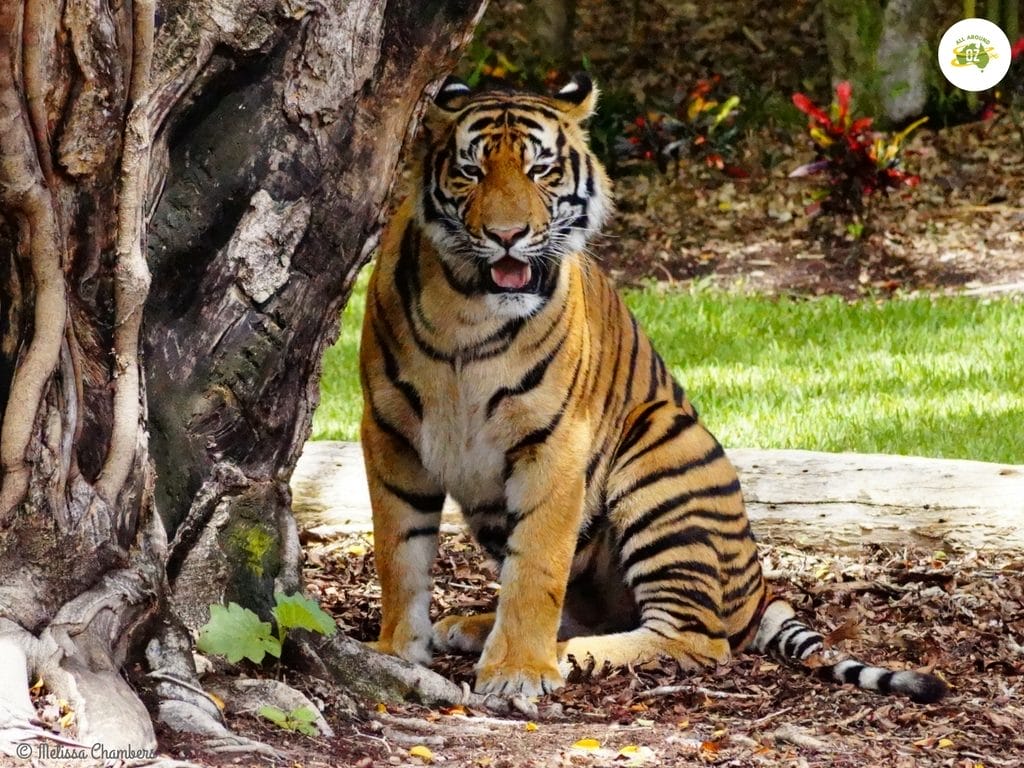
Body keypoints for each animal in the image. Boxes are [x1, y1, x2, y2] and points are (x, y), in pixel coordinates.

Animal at [358, 74, 947, 704]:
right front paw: (397, 651)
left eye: (541, 170)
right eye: (470, 171)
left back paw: (565, 654)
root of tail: (761, 590)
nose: (507, 235)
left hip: (663, 449)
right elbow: (399, 552)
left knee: (696, 638)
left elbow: (536, 565)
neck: (468, 307)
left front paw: (518, 670)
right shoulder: (390, 433)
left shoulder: (555, 441)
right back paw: (472, 628)